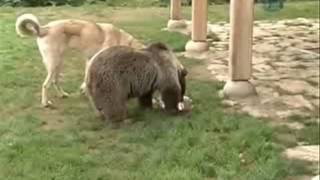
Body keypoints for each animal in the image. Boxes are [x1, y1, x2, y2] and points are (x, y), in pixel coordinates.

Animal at [15, 13, 144, 108]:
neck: (122, 40)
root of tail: (45, 28)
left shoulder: (89, 60)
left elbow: (86, 77)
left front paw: (84, 90)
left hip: (59, 63)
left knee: (55, 81)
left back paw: (62, 94)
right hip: (54, 63)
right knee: (46, 85)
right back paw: (45, 103)